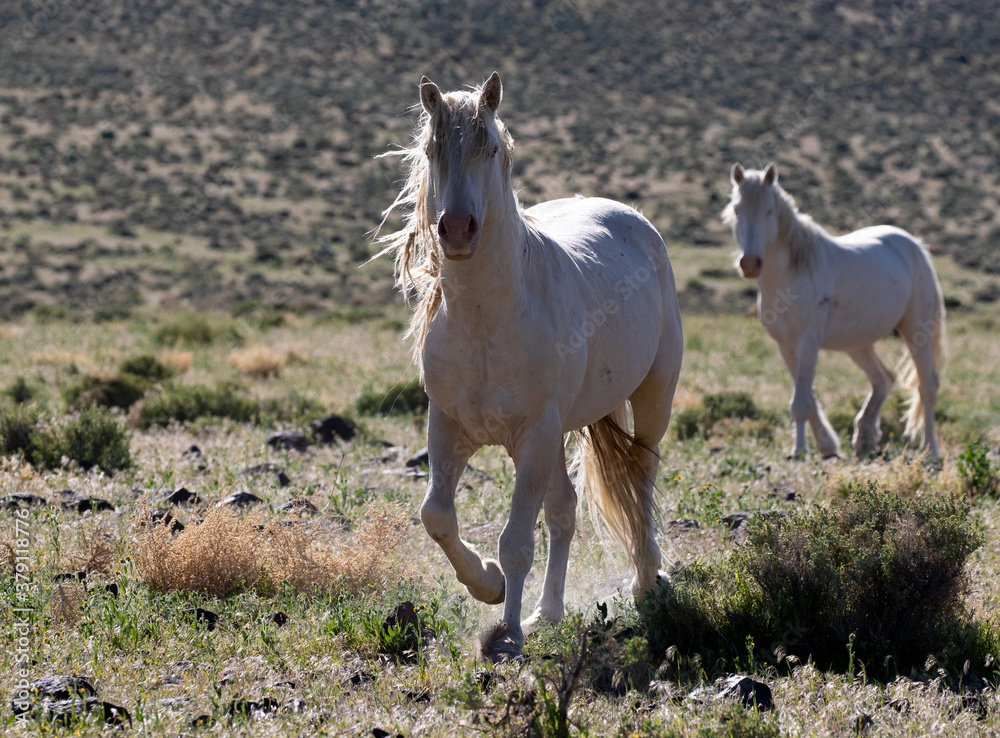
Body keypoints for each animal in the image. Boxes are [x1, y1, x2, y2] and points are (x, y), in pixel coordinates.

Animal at [376, 72, 683, 659]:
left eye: (491, 148)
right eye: (431, 150)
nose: (457, 229)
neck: (488, 322)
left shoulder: (534, 433)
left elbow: (517, 539)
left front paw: (508, 633)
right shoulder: (449, 426)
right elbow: (437, 516)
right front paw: (488, 585)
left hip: (651, 396)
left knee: (640, 481)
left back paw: (645, 579)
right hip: (558, 434)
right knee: (564, 510)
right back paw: (550, 611)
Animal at [723, 163, 945, 459]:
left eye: (769, 210)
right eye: (737, 209)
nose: (750, 264)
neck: (793, 273)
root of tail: (915, 245)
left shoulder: (808, 343)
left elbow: (801, 402)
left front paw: (800, 450)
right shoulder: (786, 345)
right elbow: (807, 400)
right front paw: (827, 446)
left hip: (916, 331)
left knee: (927, 386)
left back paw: (930, 450)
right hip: (858, 344)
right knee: (883, 379)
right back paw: (864, 438)